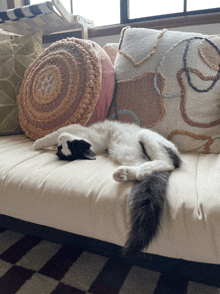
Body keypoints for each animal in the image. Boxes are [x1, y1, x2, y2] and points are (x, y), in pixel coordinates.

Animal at [33, 119, 180, 255]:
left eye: (70, 144)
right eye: (61, 147)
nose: (61, 139)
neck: (98, 145)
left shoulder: (74, 128)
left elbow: (54, 133)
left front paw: (37, 143)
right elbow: (54, 135)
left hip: (144, 137)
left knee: (167, 163)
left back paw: (140, 170)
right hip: (124, 154)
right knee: (144, 169)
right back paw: (125, 174)